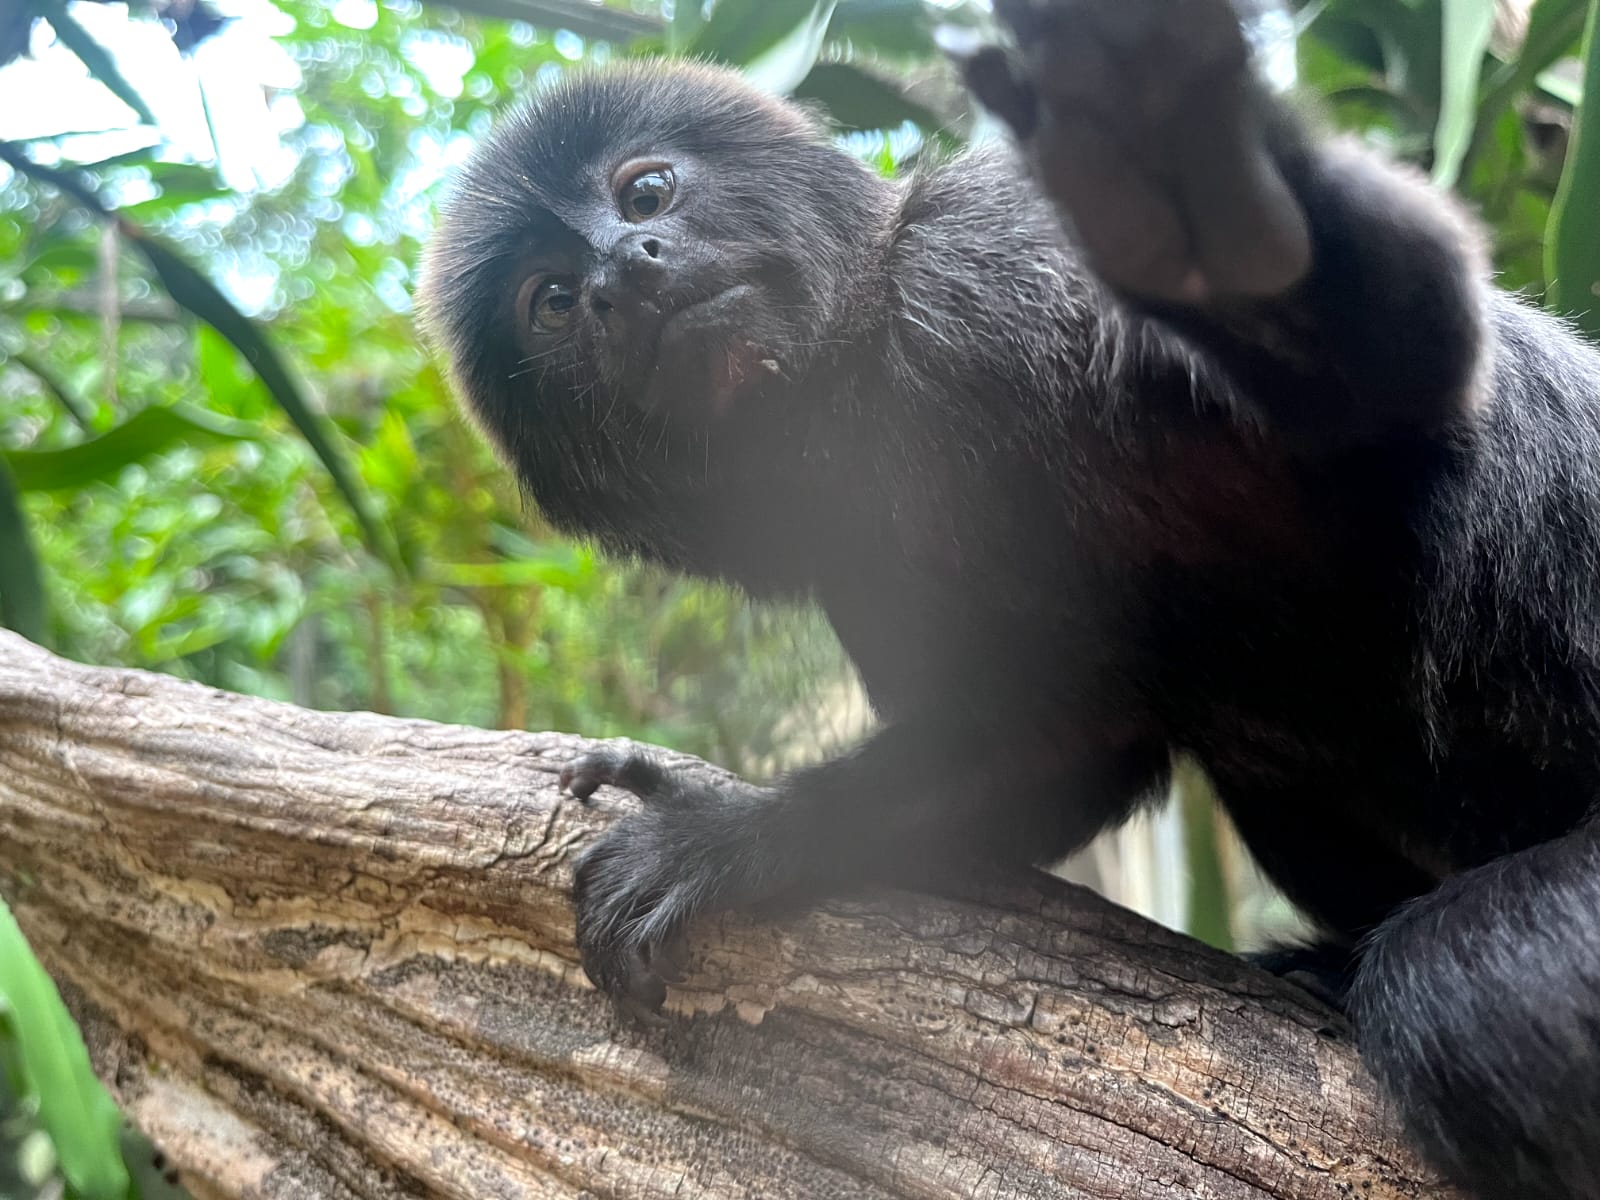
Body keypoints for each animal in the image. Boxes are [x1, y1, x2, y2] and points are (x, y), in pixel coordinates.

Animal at [422, 4, 1600, 1196]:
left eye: (647, 193)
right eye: (552, 301)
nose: (623, 276)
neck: (879, 390)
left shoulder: (993, 260)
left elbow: (1409, 372)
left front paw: (1180, 161)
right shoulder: (858, 544)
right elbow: (1060, 750)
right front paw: (728, 836)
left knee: (1450, 993)